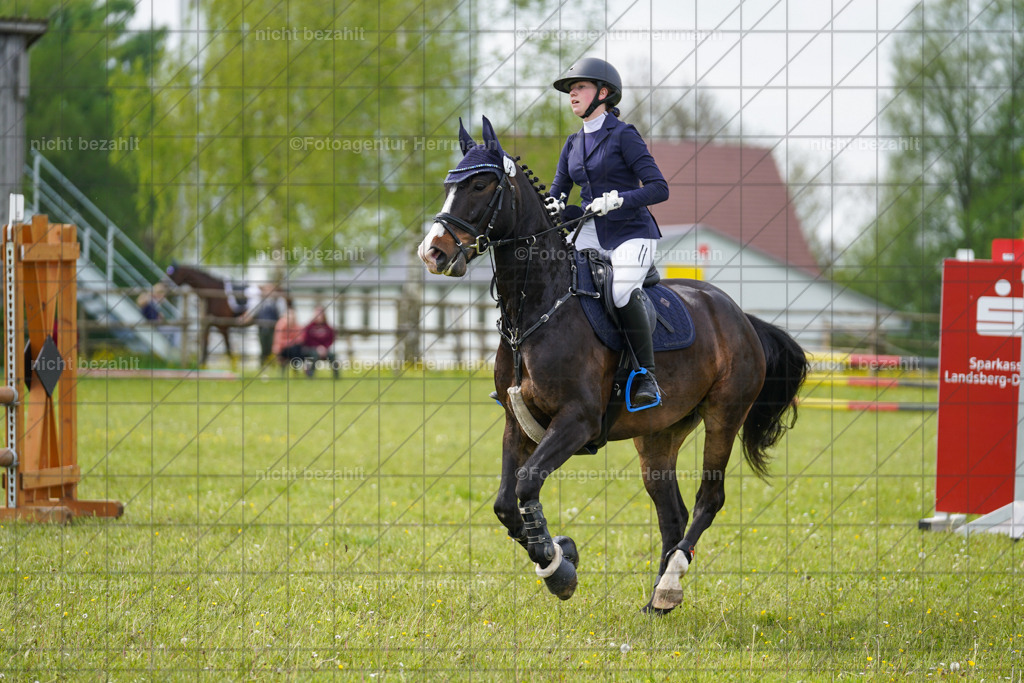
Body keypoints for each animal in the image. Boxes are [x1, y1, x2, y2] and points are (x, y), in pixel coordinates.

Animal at [417, 117, 809, 613]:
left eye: (481, 184)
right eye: (449, 184)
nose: (433, 253)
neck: (540, 306)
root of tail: (740, 316)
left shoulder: (577, 421)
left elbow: (525, 486)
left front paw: (558, 570)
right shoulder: (517, 421)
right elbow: (507, 503)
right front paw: (561, 553)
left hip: (724, 415)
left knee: (709, 499)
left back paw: (670, 584)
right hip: (658, 434)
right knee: (672, 511)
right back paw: (657, 600)